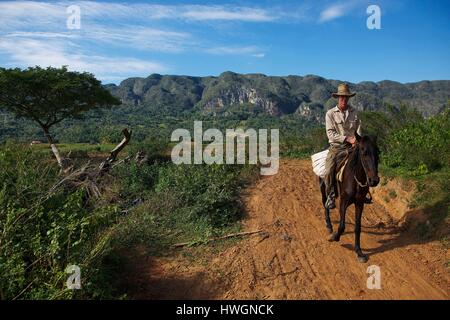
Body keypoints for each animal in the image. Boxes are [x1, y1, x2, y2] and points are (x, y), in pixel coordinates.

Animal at [320, 133, 380, 262]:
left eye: (378, 152)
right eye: (363, 152)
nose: (374, 180)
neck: (355, 176)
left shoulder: (359, 203)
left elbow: (357, 227)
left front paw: (359, 252)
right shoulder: (343, 201)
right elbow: (342, 225)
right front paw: (335, 237)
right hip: (323, 187)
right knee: (325, 203)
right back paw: (329, 225)